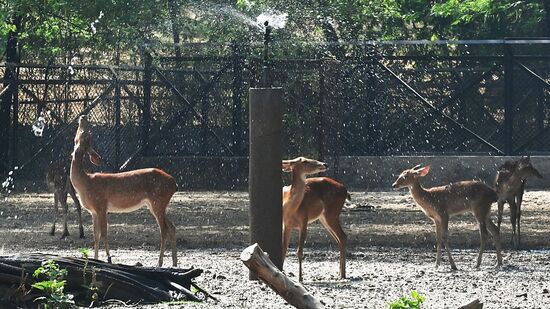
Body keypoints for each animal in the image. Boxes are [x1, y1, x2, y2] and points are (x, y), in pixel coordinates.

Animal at [68, 114, 177, 266]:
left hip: (158, 200)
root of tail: (174, 184)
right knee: (172, 227)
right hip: (156, 204)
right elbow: (96, 235)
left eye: (86, 134)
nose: (83, 117)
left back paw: (159, 263)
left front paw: (108, 258)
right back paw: (174, 262)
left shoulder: (101, 205)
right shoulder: (93, 211)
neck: (85, 182)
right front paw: (96, 258)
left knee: (164, 230)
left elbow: (104, 233)